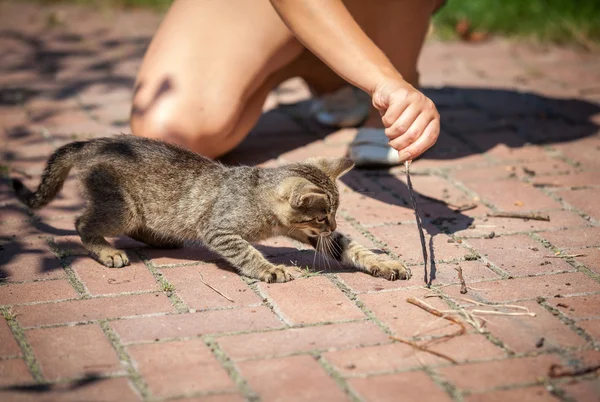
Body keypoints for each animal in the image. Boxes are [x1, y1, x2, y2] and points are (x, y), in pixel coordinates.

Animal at [11, 135, 410, 282]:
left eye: (335, 215)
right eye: (324, 214)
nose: (331, 224)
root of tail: (92, 143)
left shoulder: (306, 233)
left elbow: (352, 247)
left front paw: (384, 263)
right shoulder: (217, 229)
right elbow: (247, 251)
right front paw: (269, 268)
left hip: (140, 208)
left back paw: (161, 238)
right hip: (121, 207)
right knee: (81, 222)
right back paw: (107, 252)